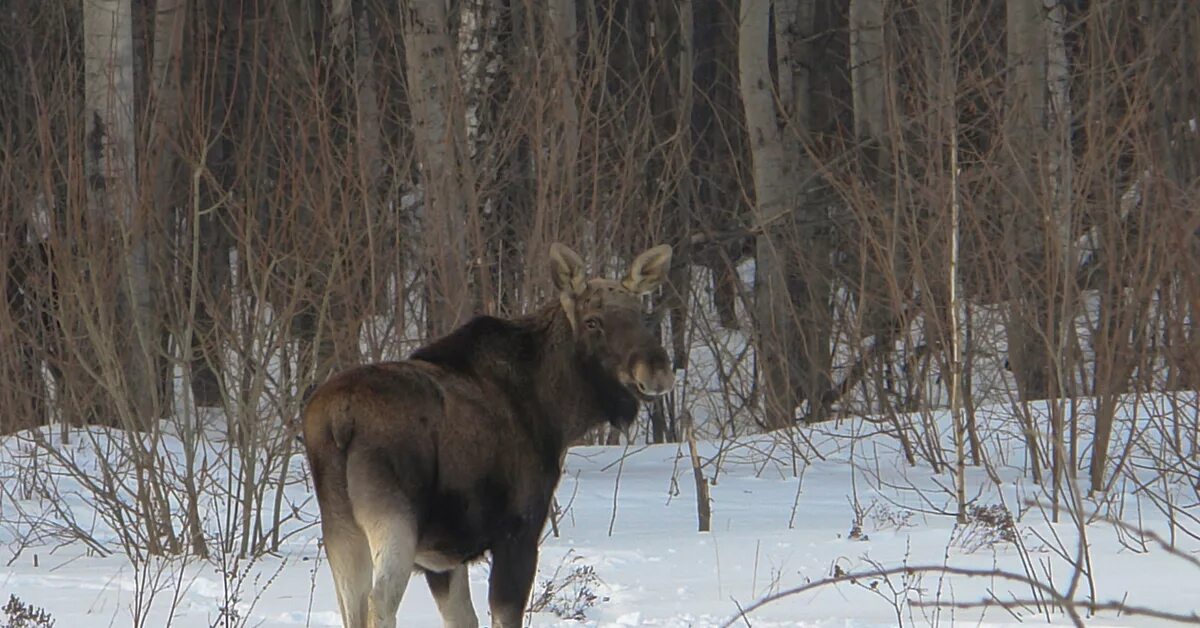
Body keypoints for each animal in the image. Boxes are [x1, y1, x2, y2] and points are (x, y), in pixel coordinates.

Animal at [300, 244, 676, 628]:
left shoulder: (444, 560)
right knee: (379, 603)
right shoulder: (518, 532)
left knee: (353, 605)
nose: (657, 369)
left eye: (642, 316)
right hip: (393, 521)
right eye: (593, 321)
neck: (559, 413)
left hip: (341, 530)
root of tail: (337, 421)